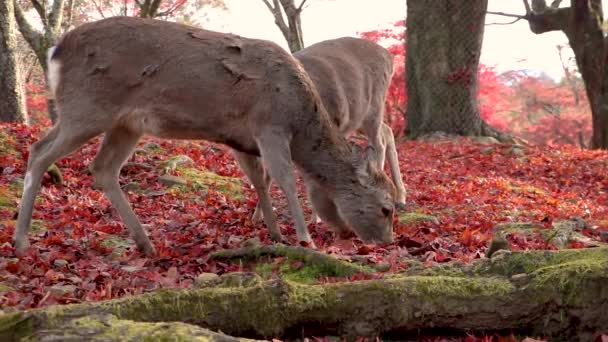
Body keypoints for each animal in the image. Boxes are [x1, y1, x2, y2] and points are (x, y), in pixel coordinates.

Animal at [243, 36, 408, 228]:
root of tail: (389, 56)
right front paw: (257, 216)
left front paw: (317, 218)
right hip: (359, 116)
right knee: (387, 131)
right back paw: (400, 197)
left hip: (374, 105)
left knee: (379, 143)